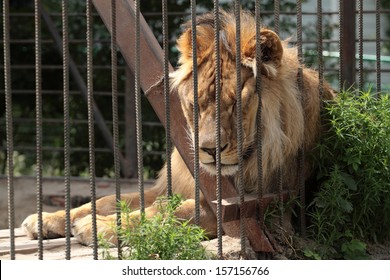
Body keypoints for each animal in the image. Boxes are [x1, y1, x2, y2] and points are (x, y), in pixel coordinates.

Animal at [21, 9, 334, 246]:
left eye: (237, 103)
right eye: (197, 103)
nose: (209, 150)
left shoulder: (248, 211)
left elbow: (169, 213)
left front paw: (100, 227)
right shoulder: (171, 187)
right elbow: (109, 199)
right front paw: (49, 218)